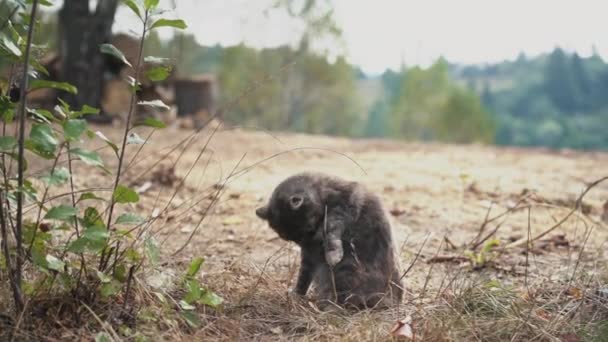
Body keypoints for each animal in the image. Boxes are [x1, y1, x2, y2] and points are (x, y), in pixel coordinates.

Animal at [255, 172, 404, 308]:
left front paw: (332, 254)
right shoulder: (308, 257)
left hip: (345, 270)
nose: (307, 242)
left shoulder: (341, 208)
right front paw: (296, 295)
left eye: (308, 229)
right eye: (287, 236)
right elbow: (303, 277)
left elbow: (331, 230)